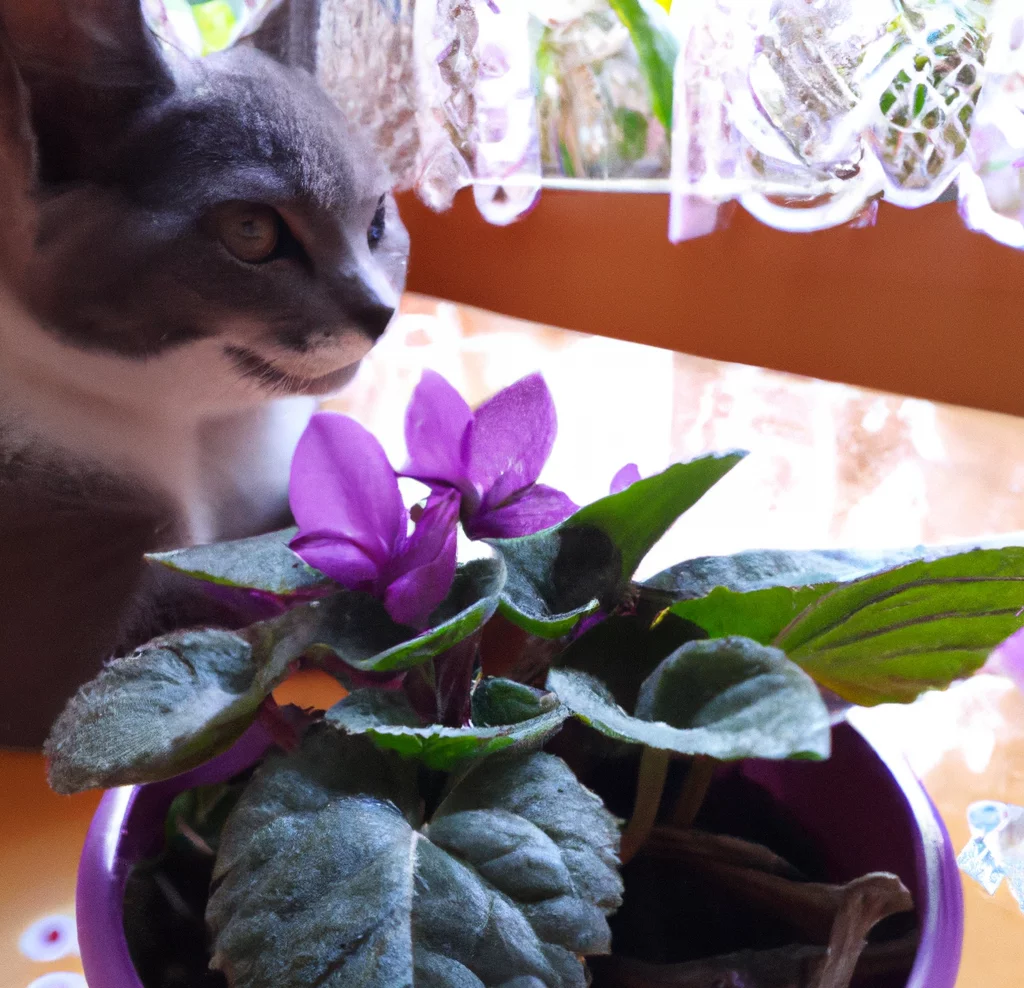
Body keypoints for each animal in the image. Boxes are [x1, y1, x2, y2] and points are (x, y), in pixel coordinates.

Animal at [0, 0, 407, 741]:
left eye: (378, 222)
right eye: (252, 231)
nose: (380, 311)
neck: (205, 433)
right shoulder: (55, 655)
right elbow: (233, 597)